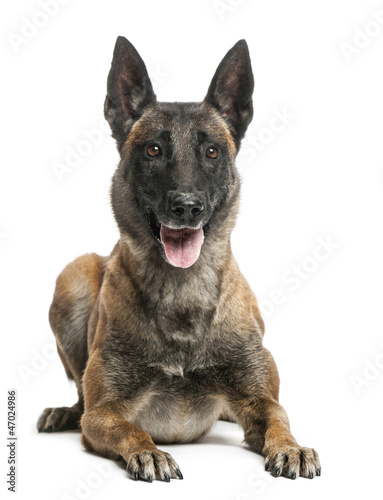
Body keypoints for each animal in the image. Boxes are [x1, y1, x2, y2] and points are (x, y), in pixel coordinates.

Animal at [38, 37, 320, 482]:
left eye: (212, 151)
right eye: (153, 149)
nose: (187, 207)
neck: (182, 291)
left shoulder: (260, 398)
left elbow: (279, 419)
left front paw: (292, 448)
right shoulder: (104, 413)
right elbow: (129, 428)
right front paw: (149, 452)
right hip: (74, 275)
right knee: (80, 399)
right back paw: (63, 412)